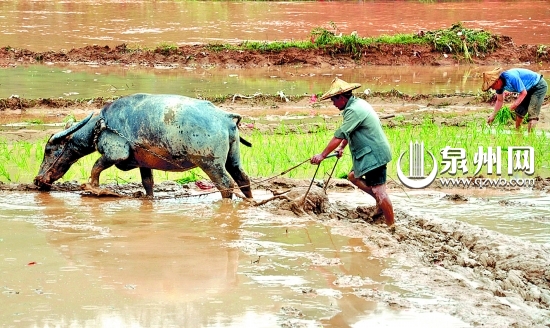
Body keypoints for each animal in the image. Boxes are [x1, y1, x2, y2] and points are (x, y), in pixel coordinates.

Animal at [35, 93, 256, 199]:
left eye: (48, 150)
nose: (38, 180)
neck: (101, 125)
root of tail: (224, 117)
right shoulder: (144, 163)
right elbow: (147, 183)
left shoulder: (116, 153)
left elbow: (96, 167)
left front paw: (93, 188)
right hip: (233, 158)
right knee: (243, 178)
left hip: (210, 163)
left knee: (226, 185)